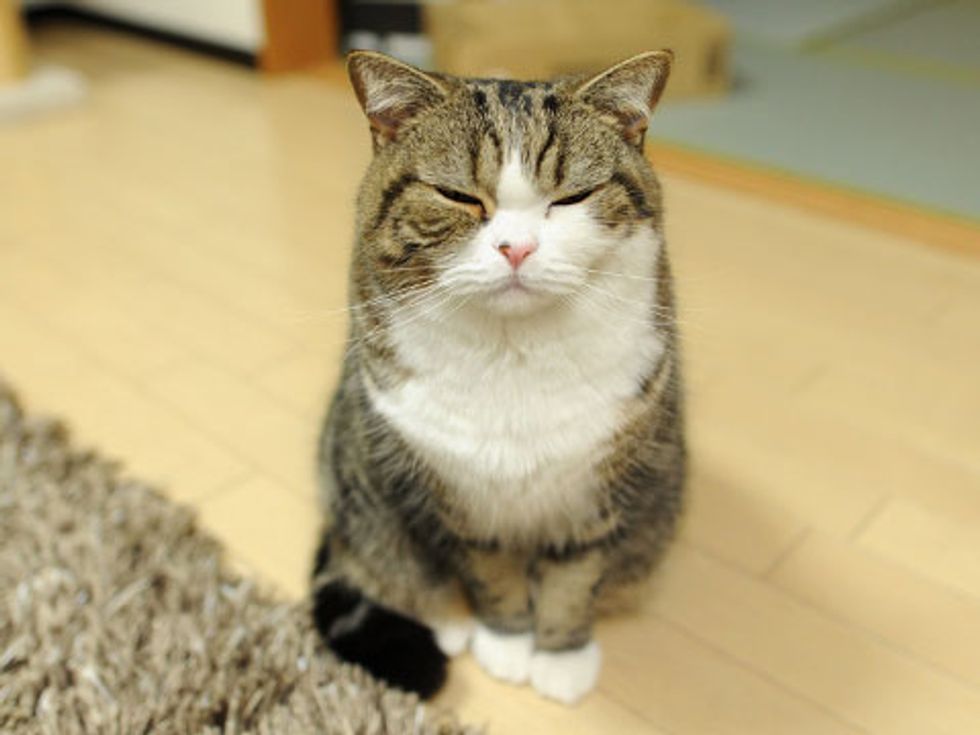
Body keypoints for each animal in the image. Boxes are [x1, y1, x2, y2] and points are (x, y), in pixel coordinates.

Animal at [310, 49, 684, 704]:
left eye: (572, 197)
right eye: (457, 196)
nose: (517, 248)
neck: (514, 355)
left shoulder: (600, 487)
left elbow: (575, 578)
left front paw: (560, 656)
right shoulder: (458, 496)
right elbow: (491, 574)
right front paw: (506, 642)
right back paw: (447, 620)